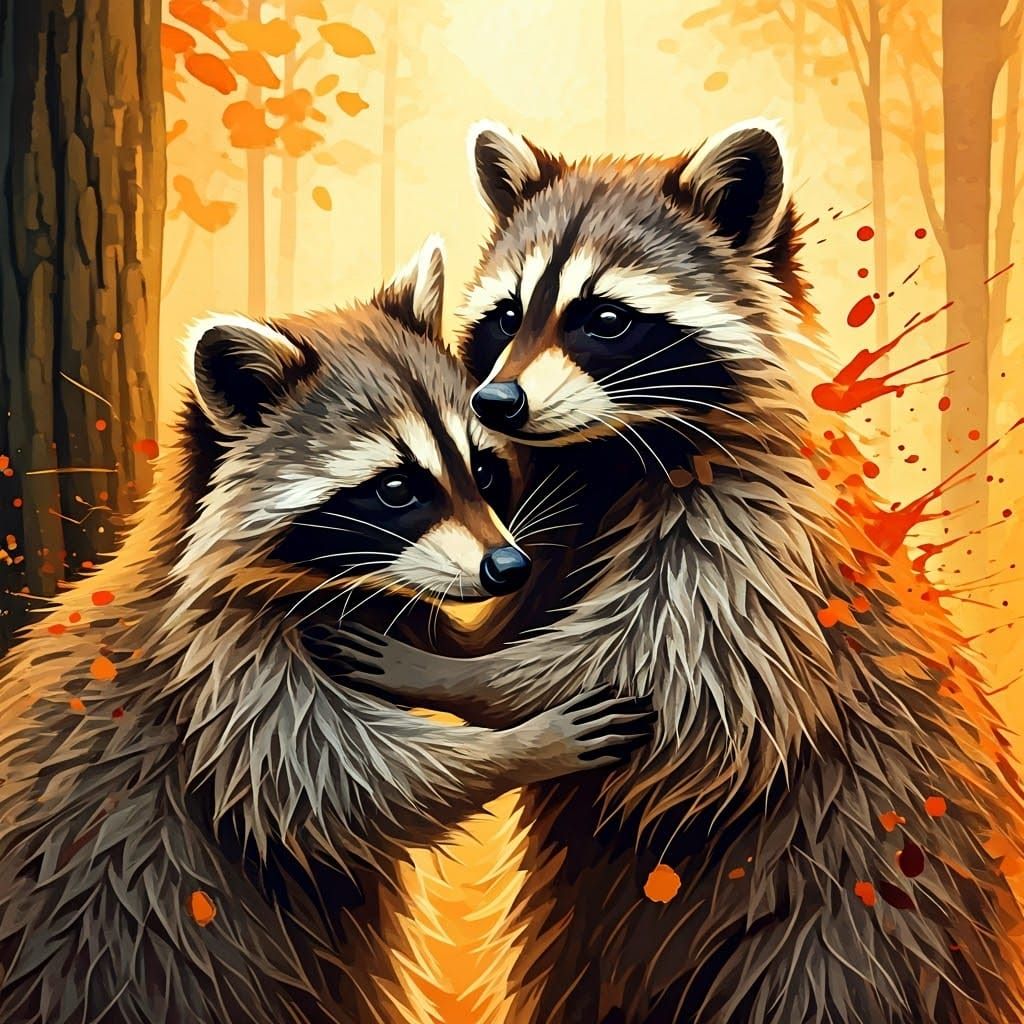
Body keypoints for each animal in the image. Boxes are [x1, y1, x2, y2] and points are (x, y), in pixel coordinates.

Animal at [0, 239, 654, 1024]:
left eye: (484, 468)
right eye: (397, 488)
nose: (508, 568)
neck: (336, 584)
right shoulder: (213, 662)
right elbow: (326, 786)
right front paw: (523, 747)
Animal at [337, 131, 1024, 1023]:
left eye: (605, 319)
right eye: (507, 316)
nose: (496, 403)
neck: (608, 453)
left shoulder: (759, 536)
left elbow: (689, 687)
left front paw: (457, 674)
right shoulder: (553, 515)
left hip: (862, 902)